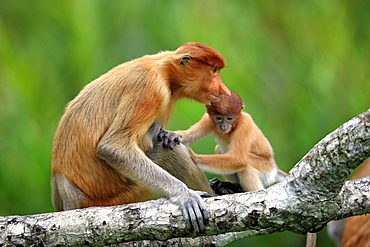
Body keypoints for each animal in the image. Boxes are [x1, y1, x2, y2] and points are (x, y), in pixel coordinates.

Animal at [51, 41, 231, 233]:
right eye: (214, 70)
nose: (223, 90)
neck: (165, 71)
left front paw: (170, 136)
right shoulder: (150, 89)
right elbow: (113, 147)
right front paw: (186, 196)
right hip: (120, 195)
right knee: (168, 153)